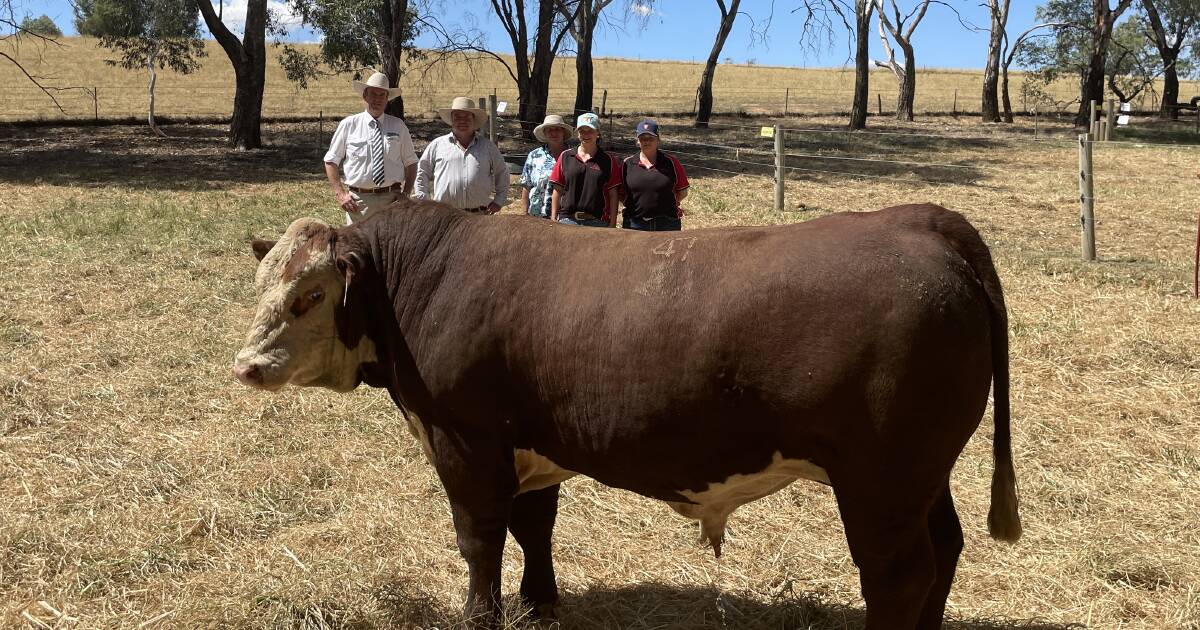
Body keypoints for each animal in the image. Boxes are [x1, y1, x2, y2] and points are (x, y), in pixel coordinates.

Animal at [234, 200, 1022, 628]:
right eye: (260, 283)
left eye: (308, 294)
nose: (246, 365)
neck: (421, 278)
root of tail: (919, 223)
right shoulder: (532, 445)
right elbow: (535, 528)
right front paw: (540, 605)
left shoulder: (465, 440)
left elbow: (480, 541)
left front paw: (483, 614)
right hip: (920, 476)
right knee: (945, 550)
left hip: (880, 483)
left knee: (898, 575)